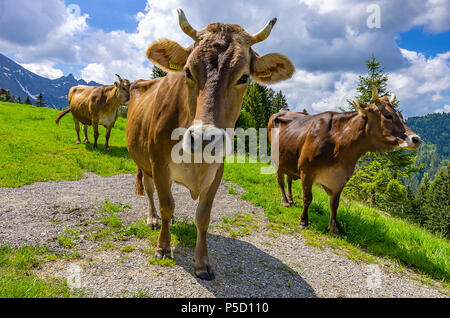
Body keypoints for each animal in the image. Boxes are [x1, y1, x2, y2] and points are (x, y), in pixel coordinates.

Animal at [126, 8, 296, 280]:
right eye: (187, 71)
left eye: (244, 77)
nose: (205, 138)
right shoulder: (159, 164)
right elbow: (166, 206)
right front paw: (163, 246)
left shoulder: (218, 170)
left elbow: (203, 217)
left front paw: (203, 262)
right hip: (143, 162)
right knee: (151, 192)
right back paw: (152, 220)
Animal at [268, 86, 420, 234]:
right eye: (388, 115)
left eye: (401, 116)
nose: (416, 139)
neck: (339, 143)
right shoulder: (306, 170)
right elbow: (307, 198)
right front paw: (303, 221)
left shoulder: (341, 177)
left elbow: (335, 204)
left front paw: (335, 228)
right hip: (277, 160)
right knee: (280, 181)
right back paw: (285, 201)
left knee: (288, 180)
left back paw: (291, 200)